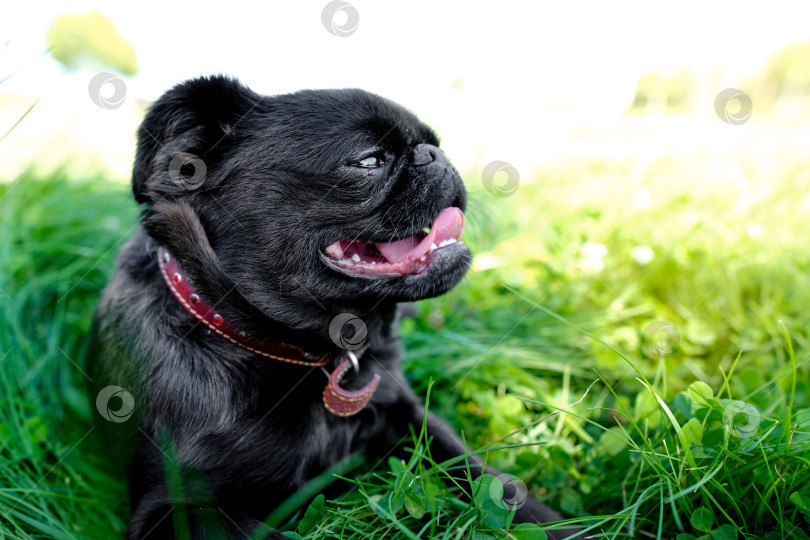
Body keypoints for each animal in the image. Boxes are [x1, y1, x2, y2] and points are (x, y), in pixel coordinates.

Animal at [87, 76, 580, 540]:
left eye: (435, 143)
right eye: (368, 160)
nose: (433, 155)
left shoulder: (407, 416)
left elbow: (488, 478)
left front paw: (562, 527)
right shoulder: (174, 511)